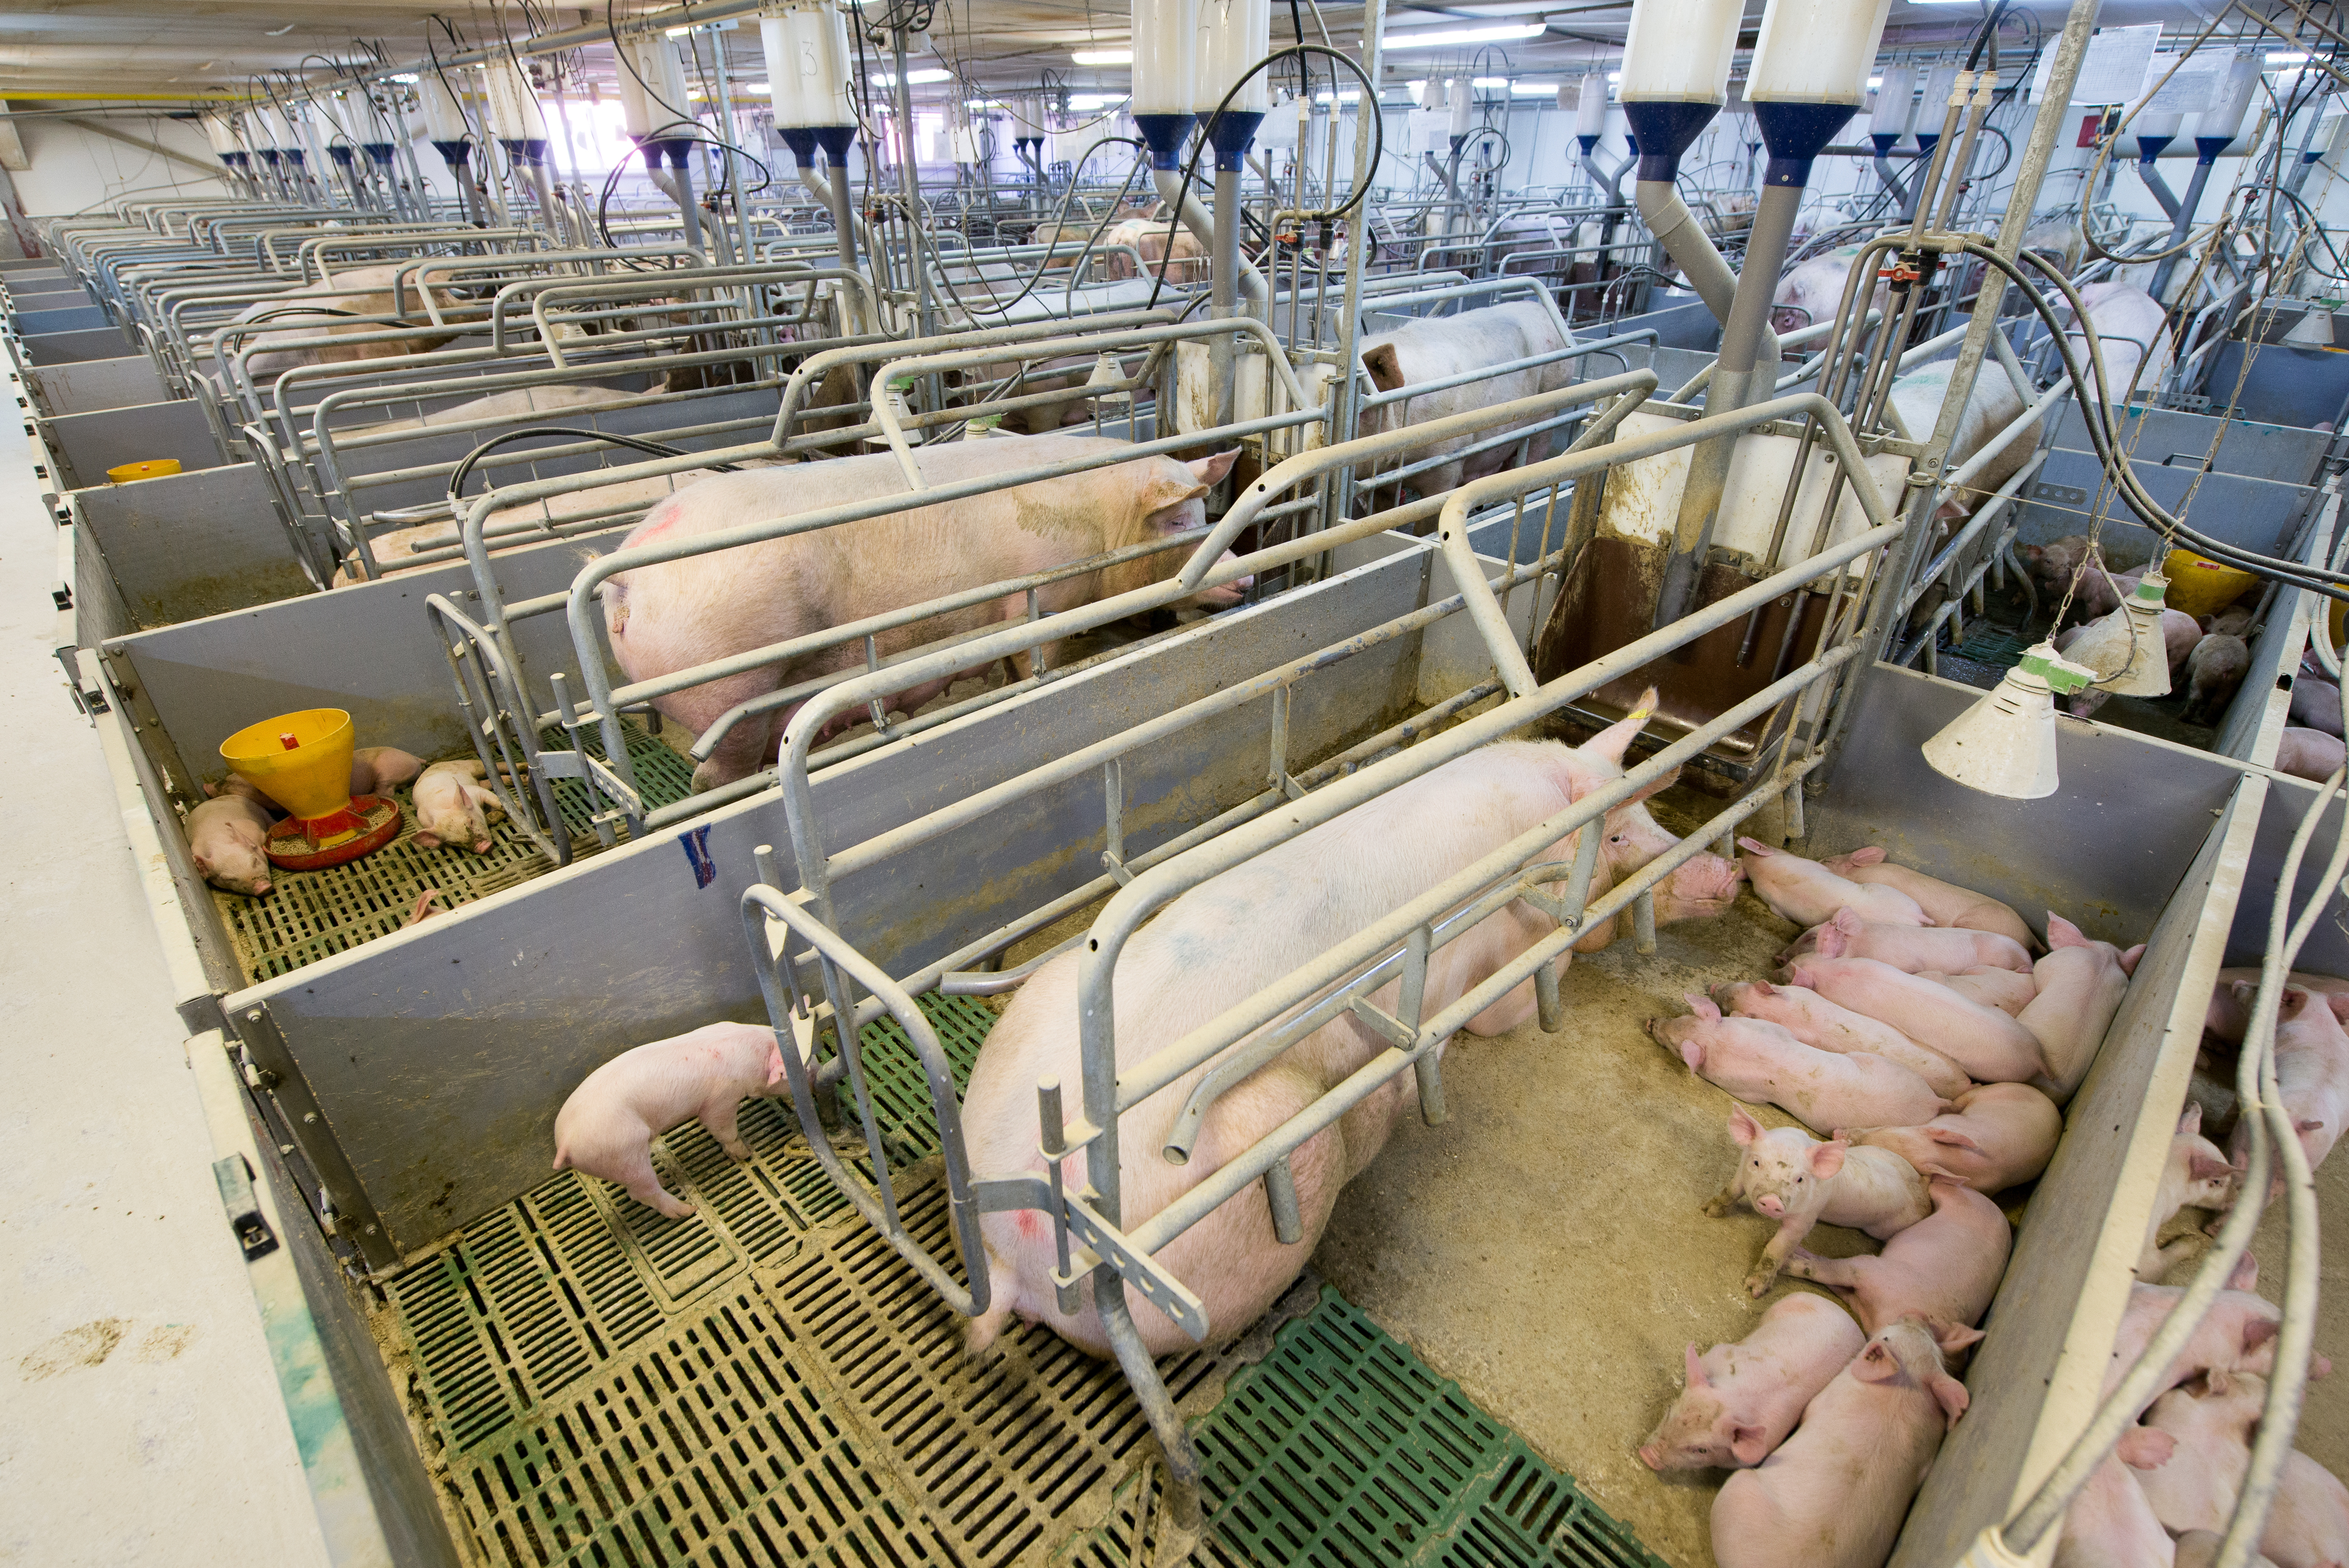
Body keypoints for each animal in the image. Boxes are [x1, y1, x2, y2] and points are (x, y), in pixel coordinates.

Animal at [610, 434, 1249, 788]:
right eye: (1178, 521)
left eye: (1205, 515)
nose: (1245, 575)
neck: (1104, 522)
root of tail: (626, 578)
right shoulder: (1042, 601)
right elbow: (1034, 663)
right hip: (730, 696)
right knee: (708, 778)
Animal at [963, 704, 1738, 1352]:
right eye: (1620, 831)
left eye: (1653, 813)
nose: (1729, 878)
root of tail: (1019, 1237)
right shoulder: (1491, 960)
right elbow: (1511, 1009)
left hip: (1045, 989)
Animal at [1644, 1286, 1860, 1474]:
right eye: (1670, 1410)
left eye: (1701, 1450)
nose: (1647, 1456)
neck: (1735, 1398)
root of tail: (1849, 1318)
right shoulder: (1721, 1353)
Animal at [1710, 1314, 1982, 1568]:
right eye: (1932, 1344)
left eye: (1887, 1337)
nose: (1920, 1316)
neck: (1904, 1388)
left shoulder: (1823, 1400)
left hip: (1737, 1490)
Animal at [1785, 1173, 2011, 1333]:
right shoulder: (1871, 1268)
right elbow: (1831, 1270)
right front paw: (1789, 1263)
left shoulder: (1858, 1300)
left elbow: (1829, 1275)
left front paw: (1794, 1256)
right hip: (1950, 1193)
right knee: (1935, 1183)